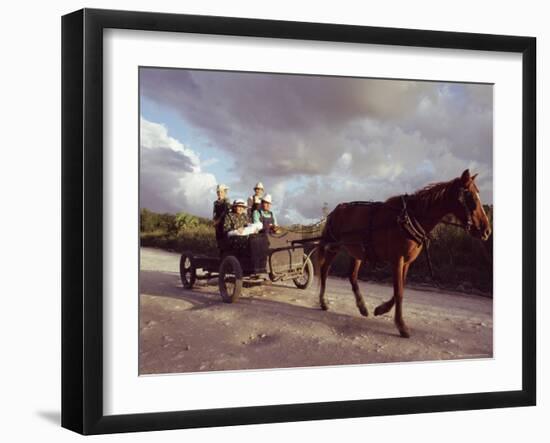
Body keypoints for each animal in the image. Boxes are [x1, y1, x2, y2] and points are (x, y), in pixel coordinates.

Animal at [316, 168, 494, 338]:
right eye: (471, 196)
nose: (486, 231)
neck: (409, 218)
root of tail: (335, 211)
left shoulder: (407, 262)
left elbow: (400, 289)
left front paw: (381, 309)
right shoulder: (397, 260)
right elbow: (399, 292)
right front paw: (401, 326)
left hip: (357, 251)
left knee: (352, 276)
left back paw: (362, 307)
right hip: (333, 246)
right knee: (324, 270)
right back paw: (323, 302)